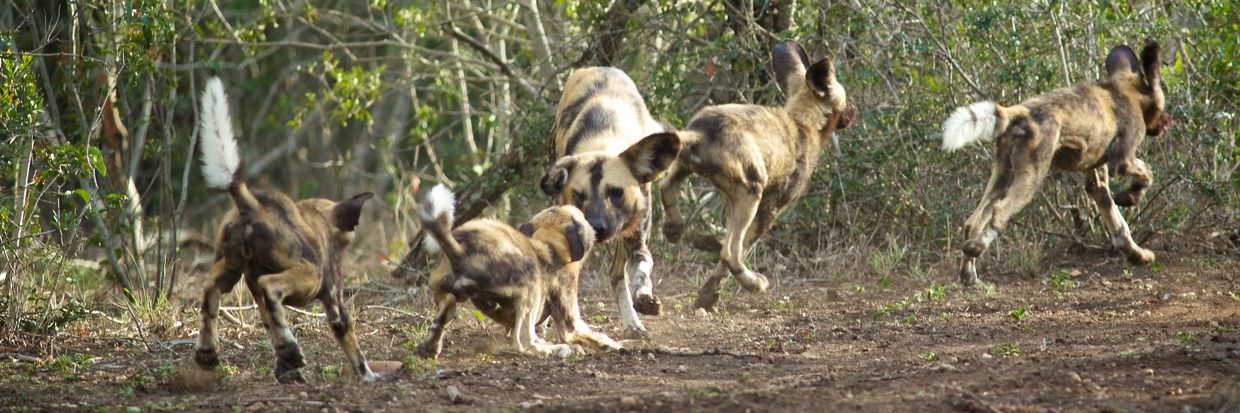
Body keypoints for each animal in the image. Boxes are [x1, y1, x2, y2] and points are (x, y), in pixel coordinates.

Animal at [416, 183, 620, 357]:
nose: (599, 227)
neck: (549, 246)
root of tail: (460, 252)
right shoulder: (572, 323)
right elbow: (599, 336)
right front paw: (614, 345)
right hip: (530, 284)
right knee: (524, 342)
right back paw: (558, 349)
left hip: (443, 293)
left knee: (445, 311)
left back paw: (430, 348)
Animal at [540, 65, 684, 334]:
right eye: (579, 195)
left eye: (616, 192)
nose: (597, 227)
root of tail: (597, 67)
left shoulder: (637, 242)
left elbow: (640, 274)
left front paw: (644, 300)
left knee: (617, 274)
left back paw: (632, 321)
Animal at [664, 42, 858, 312]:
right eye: (846, 99)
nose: (853, 111)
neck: (803, 122)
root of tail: (702, 133)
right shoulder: (771, 209)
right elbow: (732, 254)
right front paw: (710, 296)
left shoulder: (731, 202)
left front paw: (707, 296)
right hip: (751, 194)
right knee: (732, 252)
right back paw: (754, 282)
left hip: (687, 169)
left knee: (667, 193)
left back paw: (682, 232)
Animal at [937, 42, 1170, 286]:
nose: (1167, 121)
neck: (1126, 91)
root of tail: (1017, 111)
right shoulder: (1122, 160)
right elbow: (1147, 174)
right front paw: (1130, 196)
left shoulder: (1097, 183)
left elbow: (1119, 226)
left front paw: (1138, 256)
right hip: (1031, 179)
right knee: (999, 213)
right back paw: (976, 250)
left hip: (1002, 177)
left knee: (973, 222)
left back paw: (969, 275)